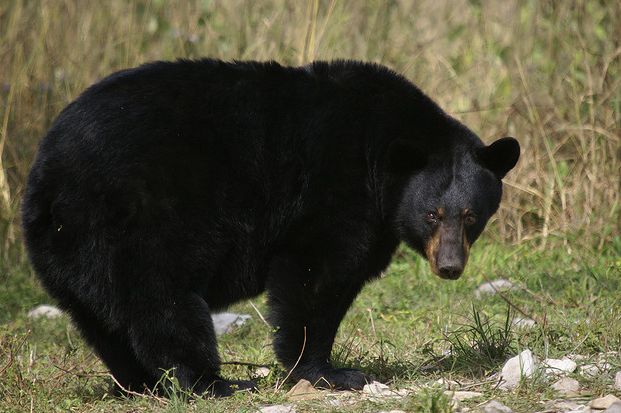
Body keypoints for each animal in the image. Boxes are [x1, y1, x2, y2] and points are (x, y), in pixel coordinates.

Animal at [21, 58, 520, 396]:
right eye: (432, 213)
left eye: (472, 215)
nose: (450, 266)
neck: (380, 158)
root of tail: (47, 176)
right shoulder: (334, 191)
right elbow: (315, 276)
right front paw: (329, 371)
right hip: (137, 224)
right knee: (164, 304)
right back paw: (215, 382)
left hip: (73, 250)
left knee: (103, 319)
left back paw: (141, 382)